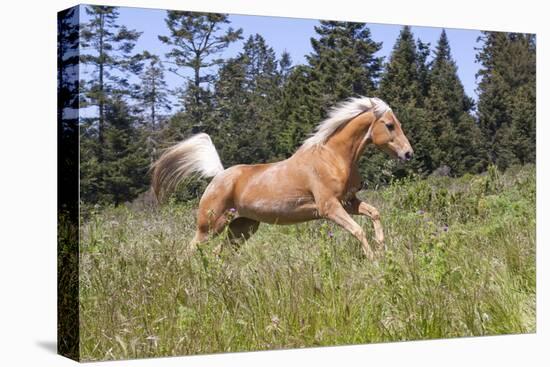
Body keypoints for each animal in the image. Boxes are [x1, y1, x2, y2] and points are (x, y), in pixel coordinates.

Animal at [151, 96, 414, 260]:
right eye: (389, 125)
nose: (408, 153)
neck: (332, 157)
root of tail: (218, 176)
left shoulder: (349, 202)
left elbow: (375, 214)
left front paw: (382, 249)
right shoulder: (329, 207)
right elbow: (358, 231)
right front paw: (373, 259)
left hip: (242, 228)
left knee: (219, 254)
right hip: (210, 226)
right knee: (191, 250)